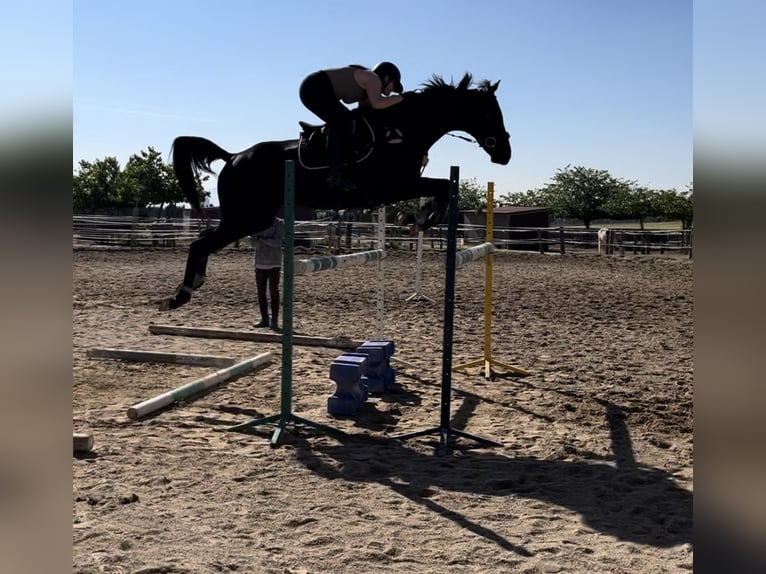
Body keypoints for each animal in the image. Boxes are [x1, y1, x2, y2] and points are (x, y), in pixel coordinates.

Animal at [160, 75, 510, 316]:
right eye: (489, 113)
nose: (504, 154)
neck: (403, 130)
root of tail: (232, 156)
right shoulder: (394, 186)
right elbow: (442, 186)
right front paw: (418, 218)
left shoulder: (400, 186)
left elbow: (443, 186)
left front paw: (416, 218)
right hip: (246, 217)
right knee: (200, 243)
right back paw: (179, 295)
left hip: (249, 217)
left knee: (204, 241)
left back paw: (191, 285)